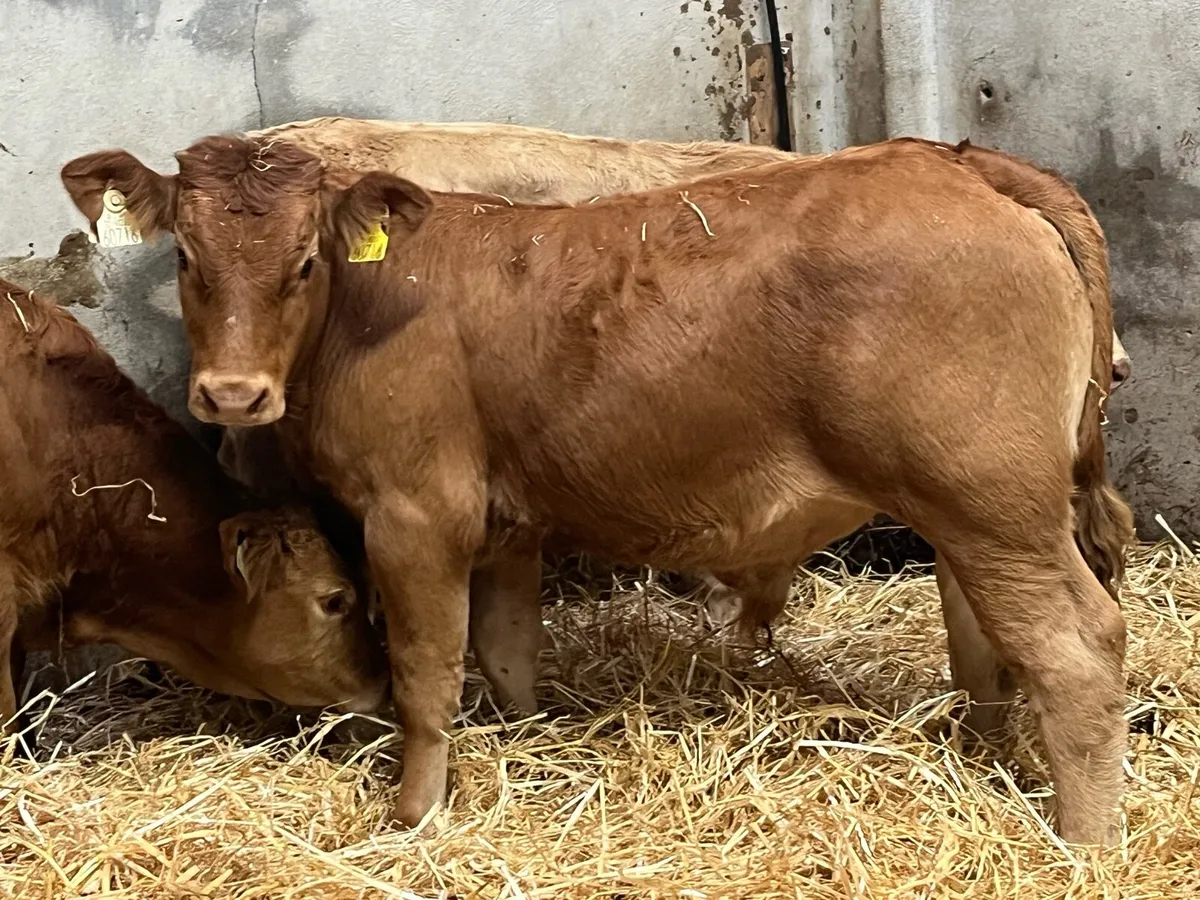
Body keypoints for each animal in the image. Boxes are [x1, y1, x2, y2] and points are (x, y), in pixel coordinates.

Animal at [59, 135, 1134, 844]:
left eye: (307, 260)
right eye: (186, 256)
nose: (232, 393)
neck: (369, 308)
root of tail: (953, 161)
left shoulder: (414, 513)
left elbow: (424, 670)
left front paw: (413, 814)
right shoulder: (504, 525)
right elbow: (506, 652)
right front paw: (529, 743)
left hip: (989, 500)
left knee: (1077, 646)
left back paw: (1081, 841)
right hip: (976, 504)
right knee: (984, 631)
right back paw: (981, 750)